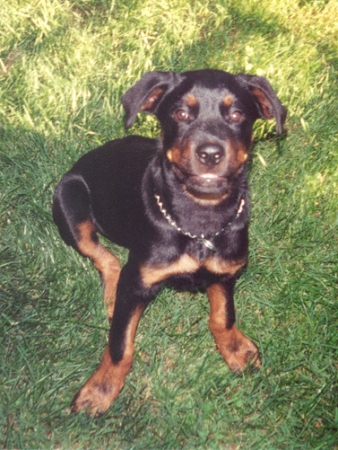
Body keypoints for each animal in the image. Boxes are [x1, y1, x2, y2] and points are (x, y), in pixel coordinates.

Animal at [52, 68, 286, 416]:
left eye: (236, 115)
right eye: (180, 113)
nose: (210, 154)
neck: (199, 221)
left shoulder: (226, 270)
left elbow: (223, 315)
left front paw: (236, 349)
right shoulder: (138, 280)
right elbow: (120, 344)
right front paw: (100, 389)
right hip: (68, 198)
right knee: (105, 257)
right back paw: (112, 297)